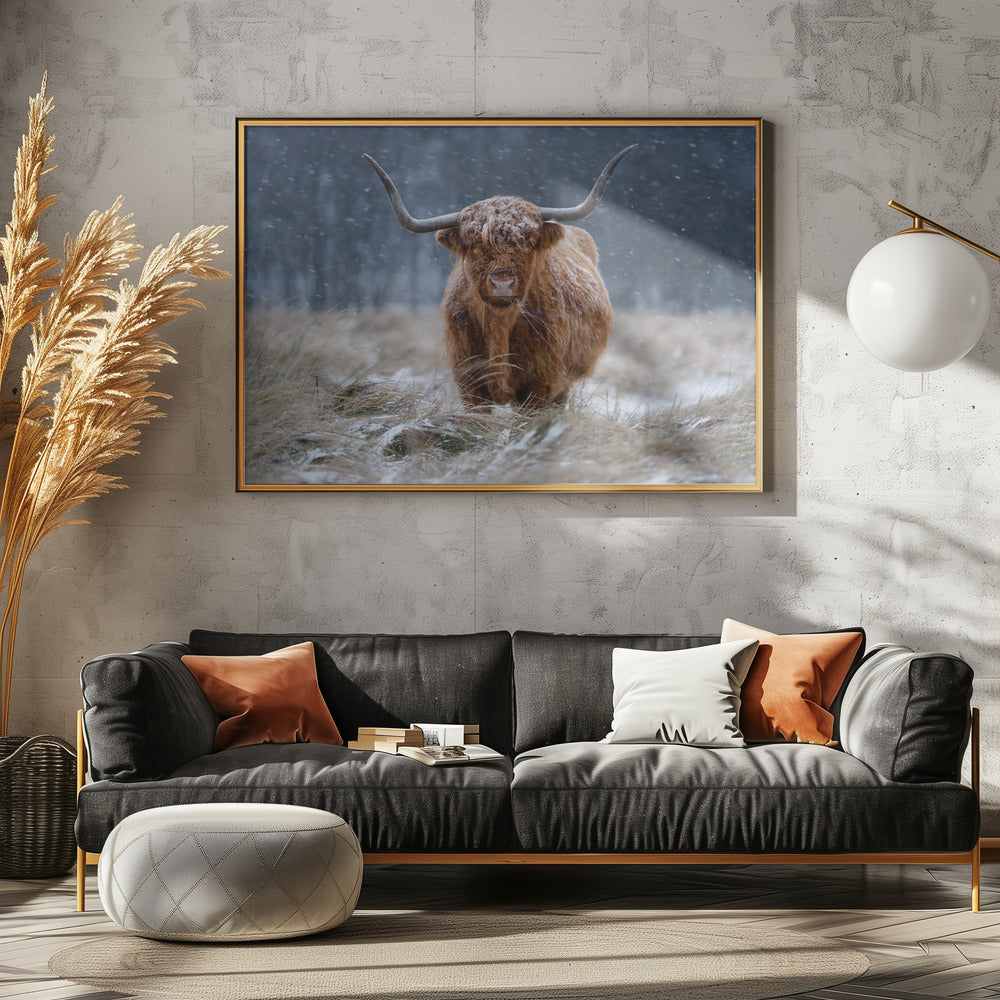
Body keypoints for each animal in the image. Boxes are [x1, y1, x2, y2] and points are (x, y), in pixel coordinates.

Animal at [365, 144, 636, 410]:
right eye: (474, 245)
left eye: (528, 242)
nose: (502, 283)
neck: (499, 327)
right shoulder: (469, 381)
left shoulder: (541, 385)